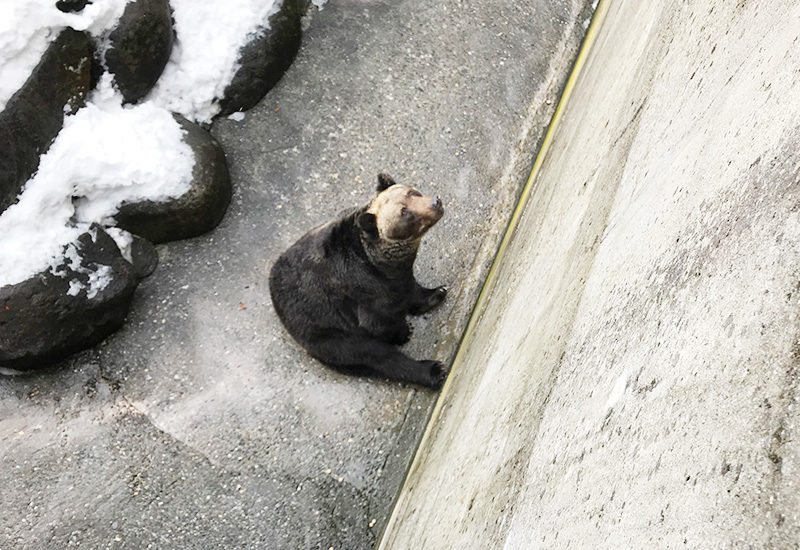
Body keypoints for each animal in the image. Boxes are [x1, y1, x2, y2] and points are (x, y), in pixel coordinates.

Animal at [270, 172, 450, 388]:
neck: (379, 261)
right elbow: (379, 324)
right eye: (405, 212)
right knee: (373, 355)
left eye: (411, 192)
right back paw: (434, 370)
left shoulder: (395, 277)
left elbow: (410, 288)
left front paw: (437, 292)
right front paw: (403, 331)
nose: (435, 202)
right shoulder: (363, 290)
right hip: (324, 329)